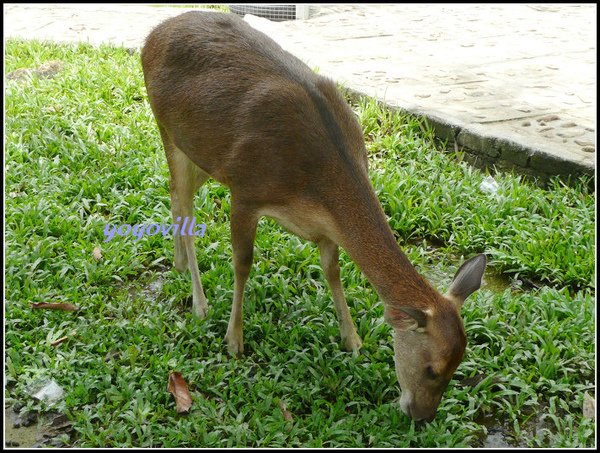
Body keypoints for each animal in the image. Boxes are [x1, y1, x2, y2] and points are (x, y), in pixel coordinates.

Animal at [142, 9, 488, 420]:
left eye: (458, 367)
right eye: (432, 369)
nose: (420, 417)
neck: (315, 183)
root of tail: (152, 35)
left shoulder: (325, 228)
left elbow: (332, 269)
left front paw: (353, 340)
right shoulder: (246, 190)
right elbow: (243, 263)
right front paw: (234, 341)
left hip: (198, 152)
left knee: (176, 197)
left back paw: (179, 264)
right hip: (166, 126)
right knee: (187, 210)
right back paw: (199, 302)